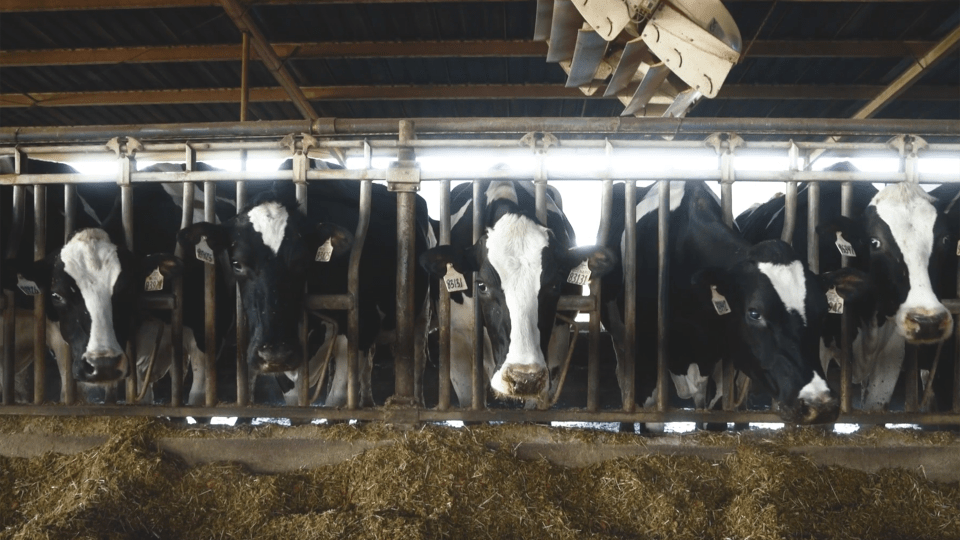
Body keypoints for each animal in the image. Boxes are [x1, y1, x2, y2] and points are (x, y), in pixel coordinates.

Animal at [177, 158, 436, 408]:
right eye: (236, 263)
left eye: (302, 261)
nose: (275, 354)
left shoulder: (362, 327)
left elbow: (336, 400)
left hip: (420, 313)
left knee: (417, 357)